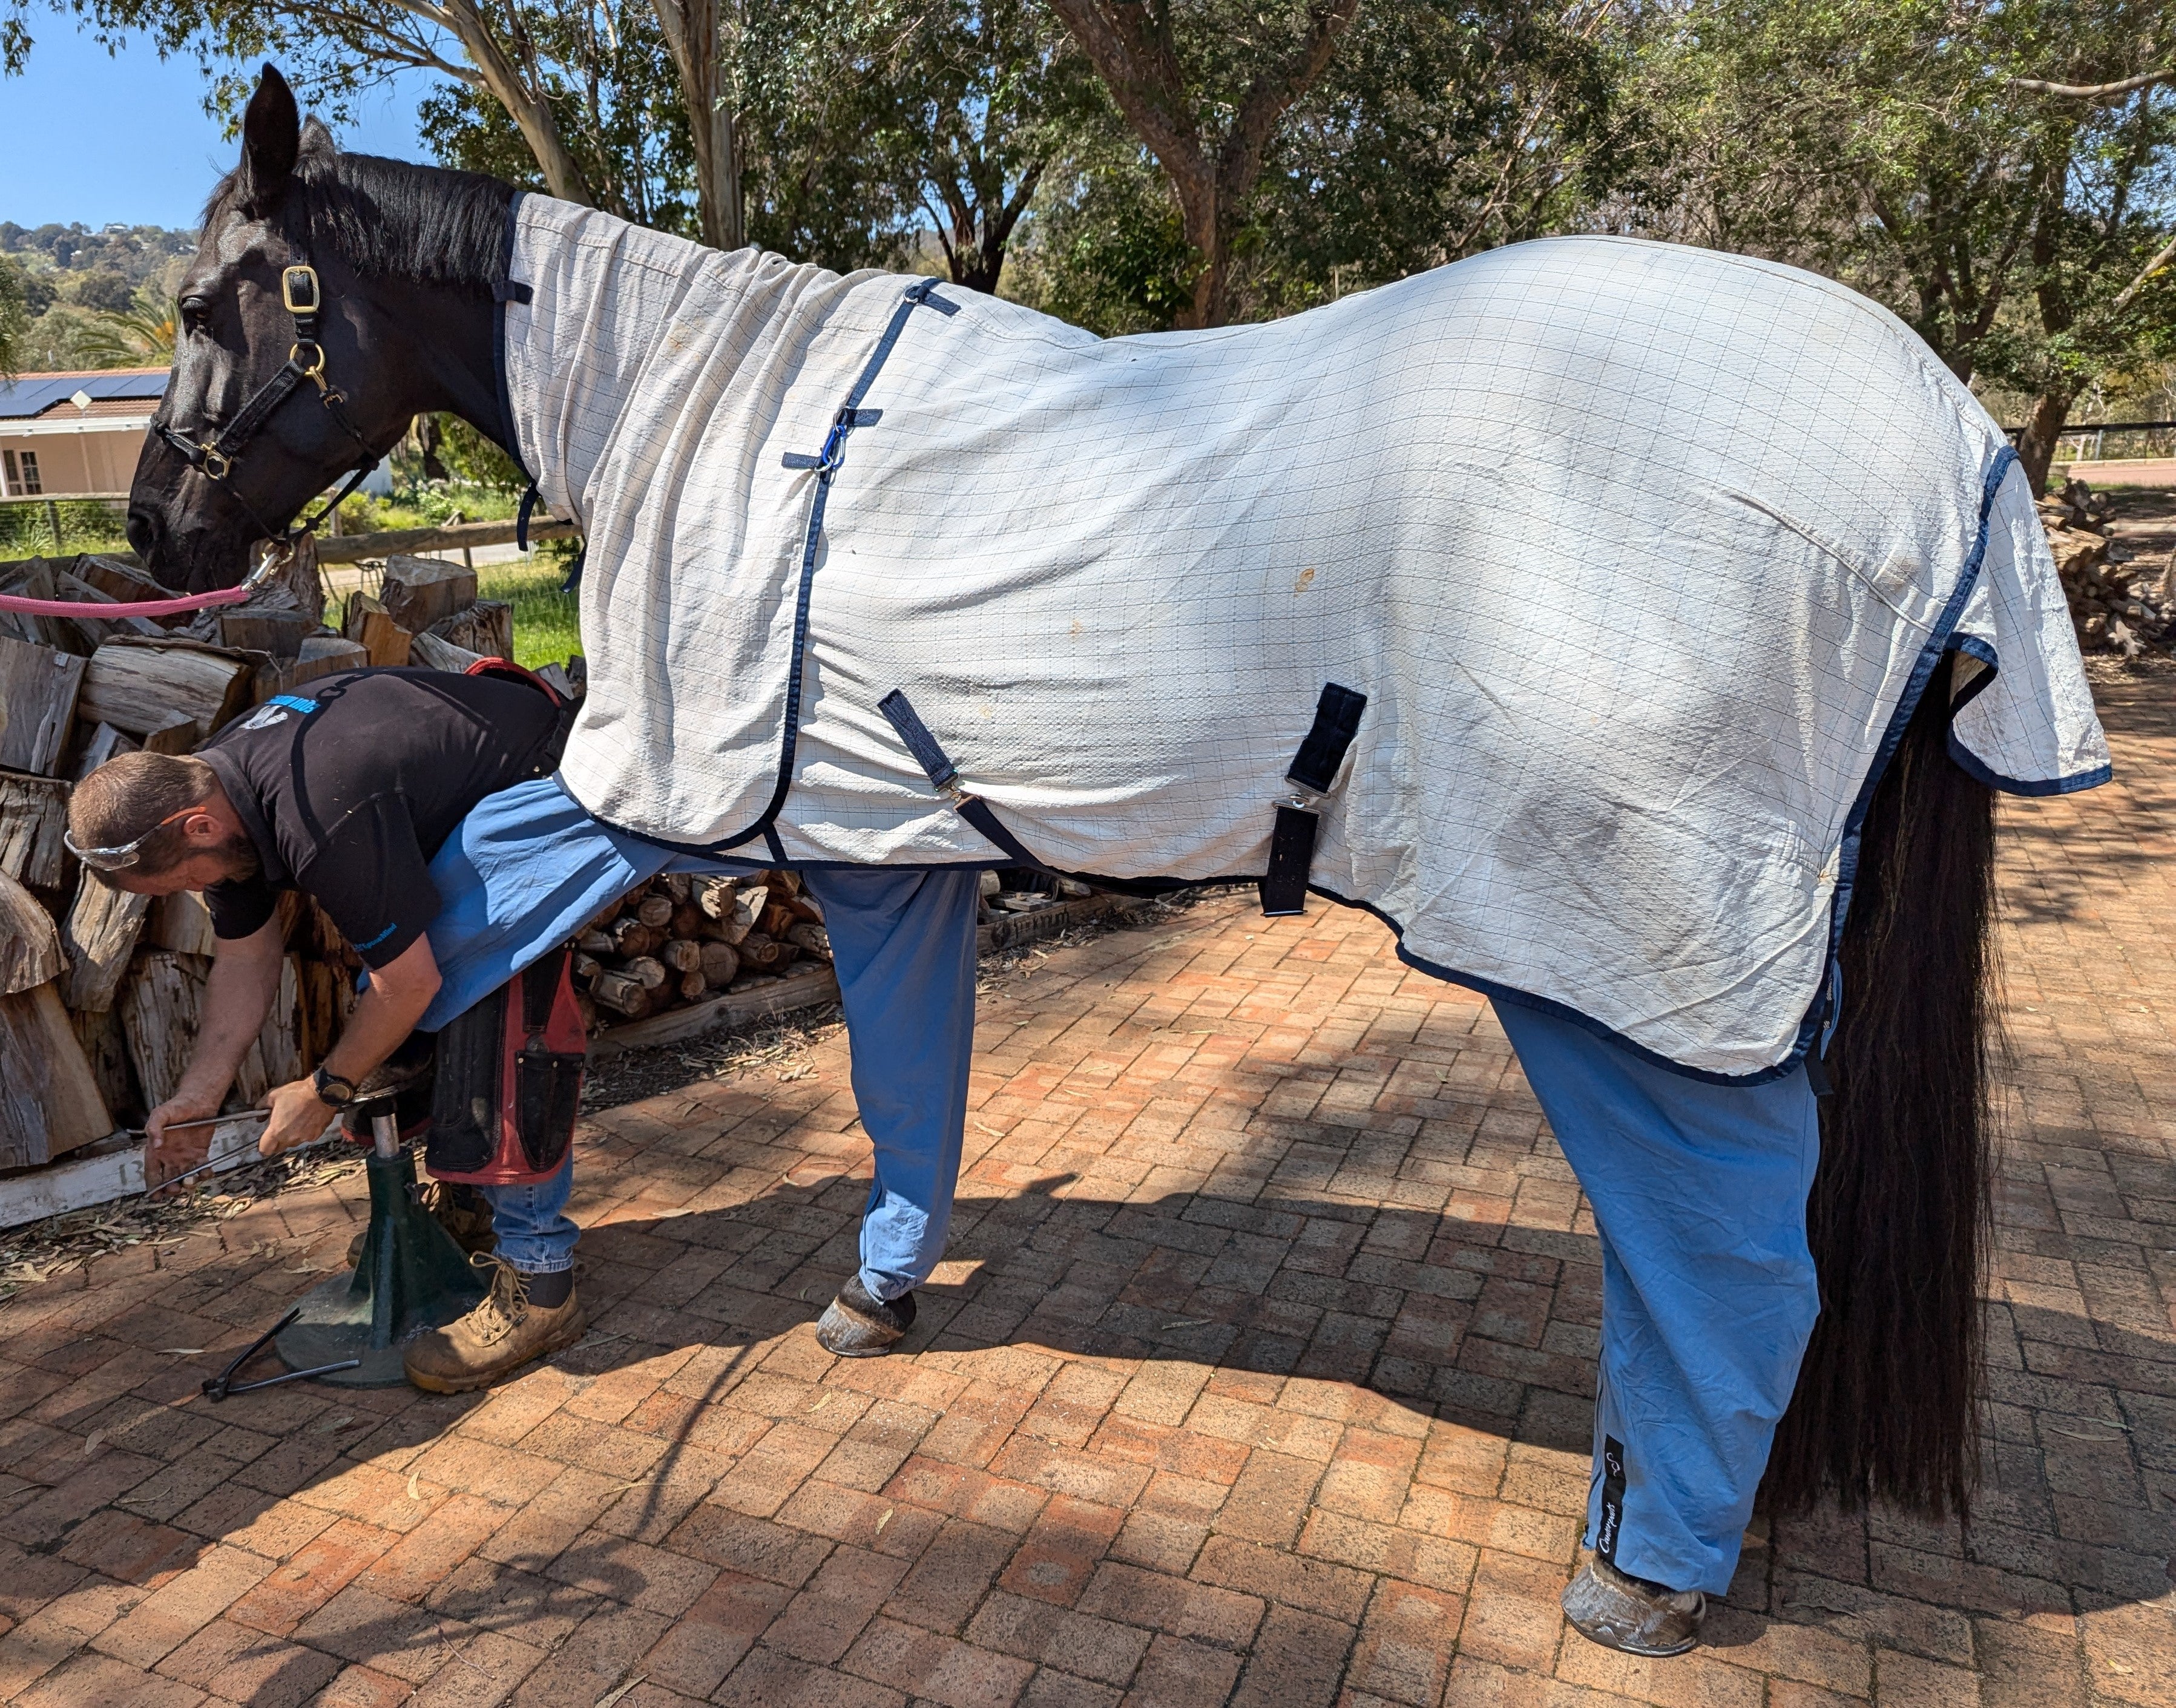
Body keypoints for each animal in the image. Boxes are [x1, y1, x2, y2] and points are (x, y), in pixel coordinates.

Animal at [127, 67, 2002, 1523]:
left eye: (216, 305)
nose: (157, 533)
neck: (708, 412)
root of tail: (1954, 454)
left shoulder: (653, 787)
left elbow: (478, 906)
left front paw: (504, 1266)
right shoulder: (873, 840)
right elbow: (905, 1073)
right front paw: (875, 1292)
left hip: (1621, 959)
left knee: (1731, 1252)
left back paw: (1646, 1562)